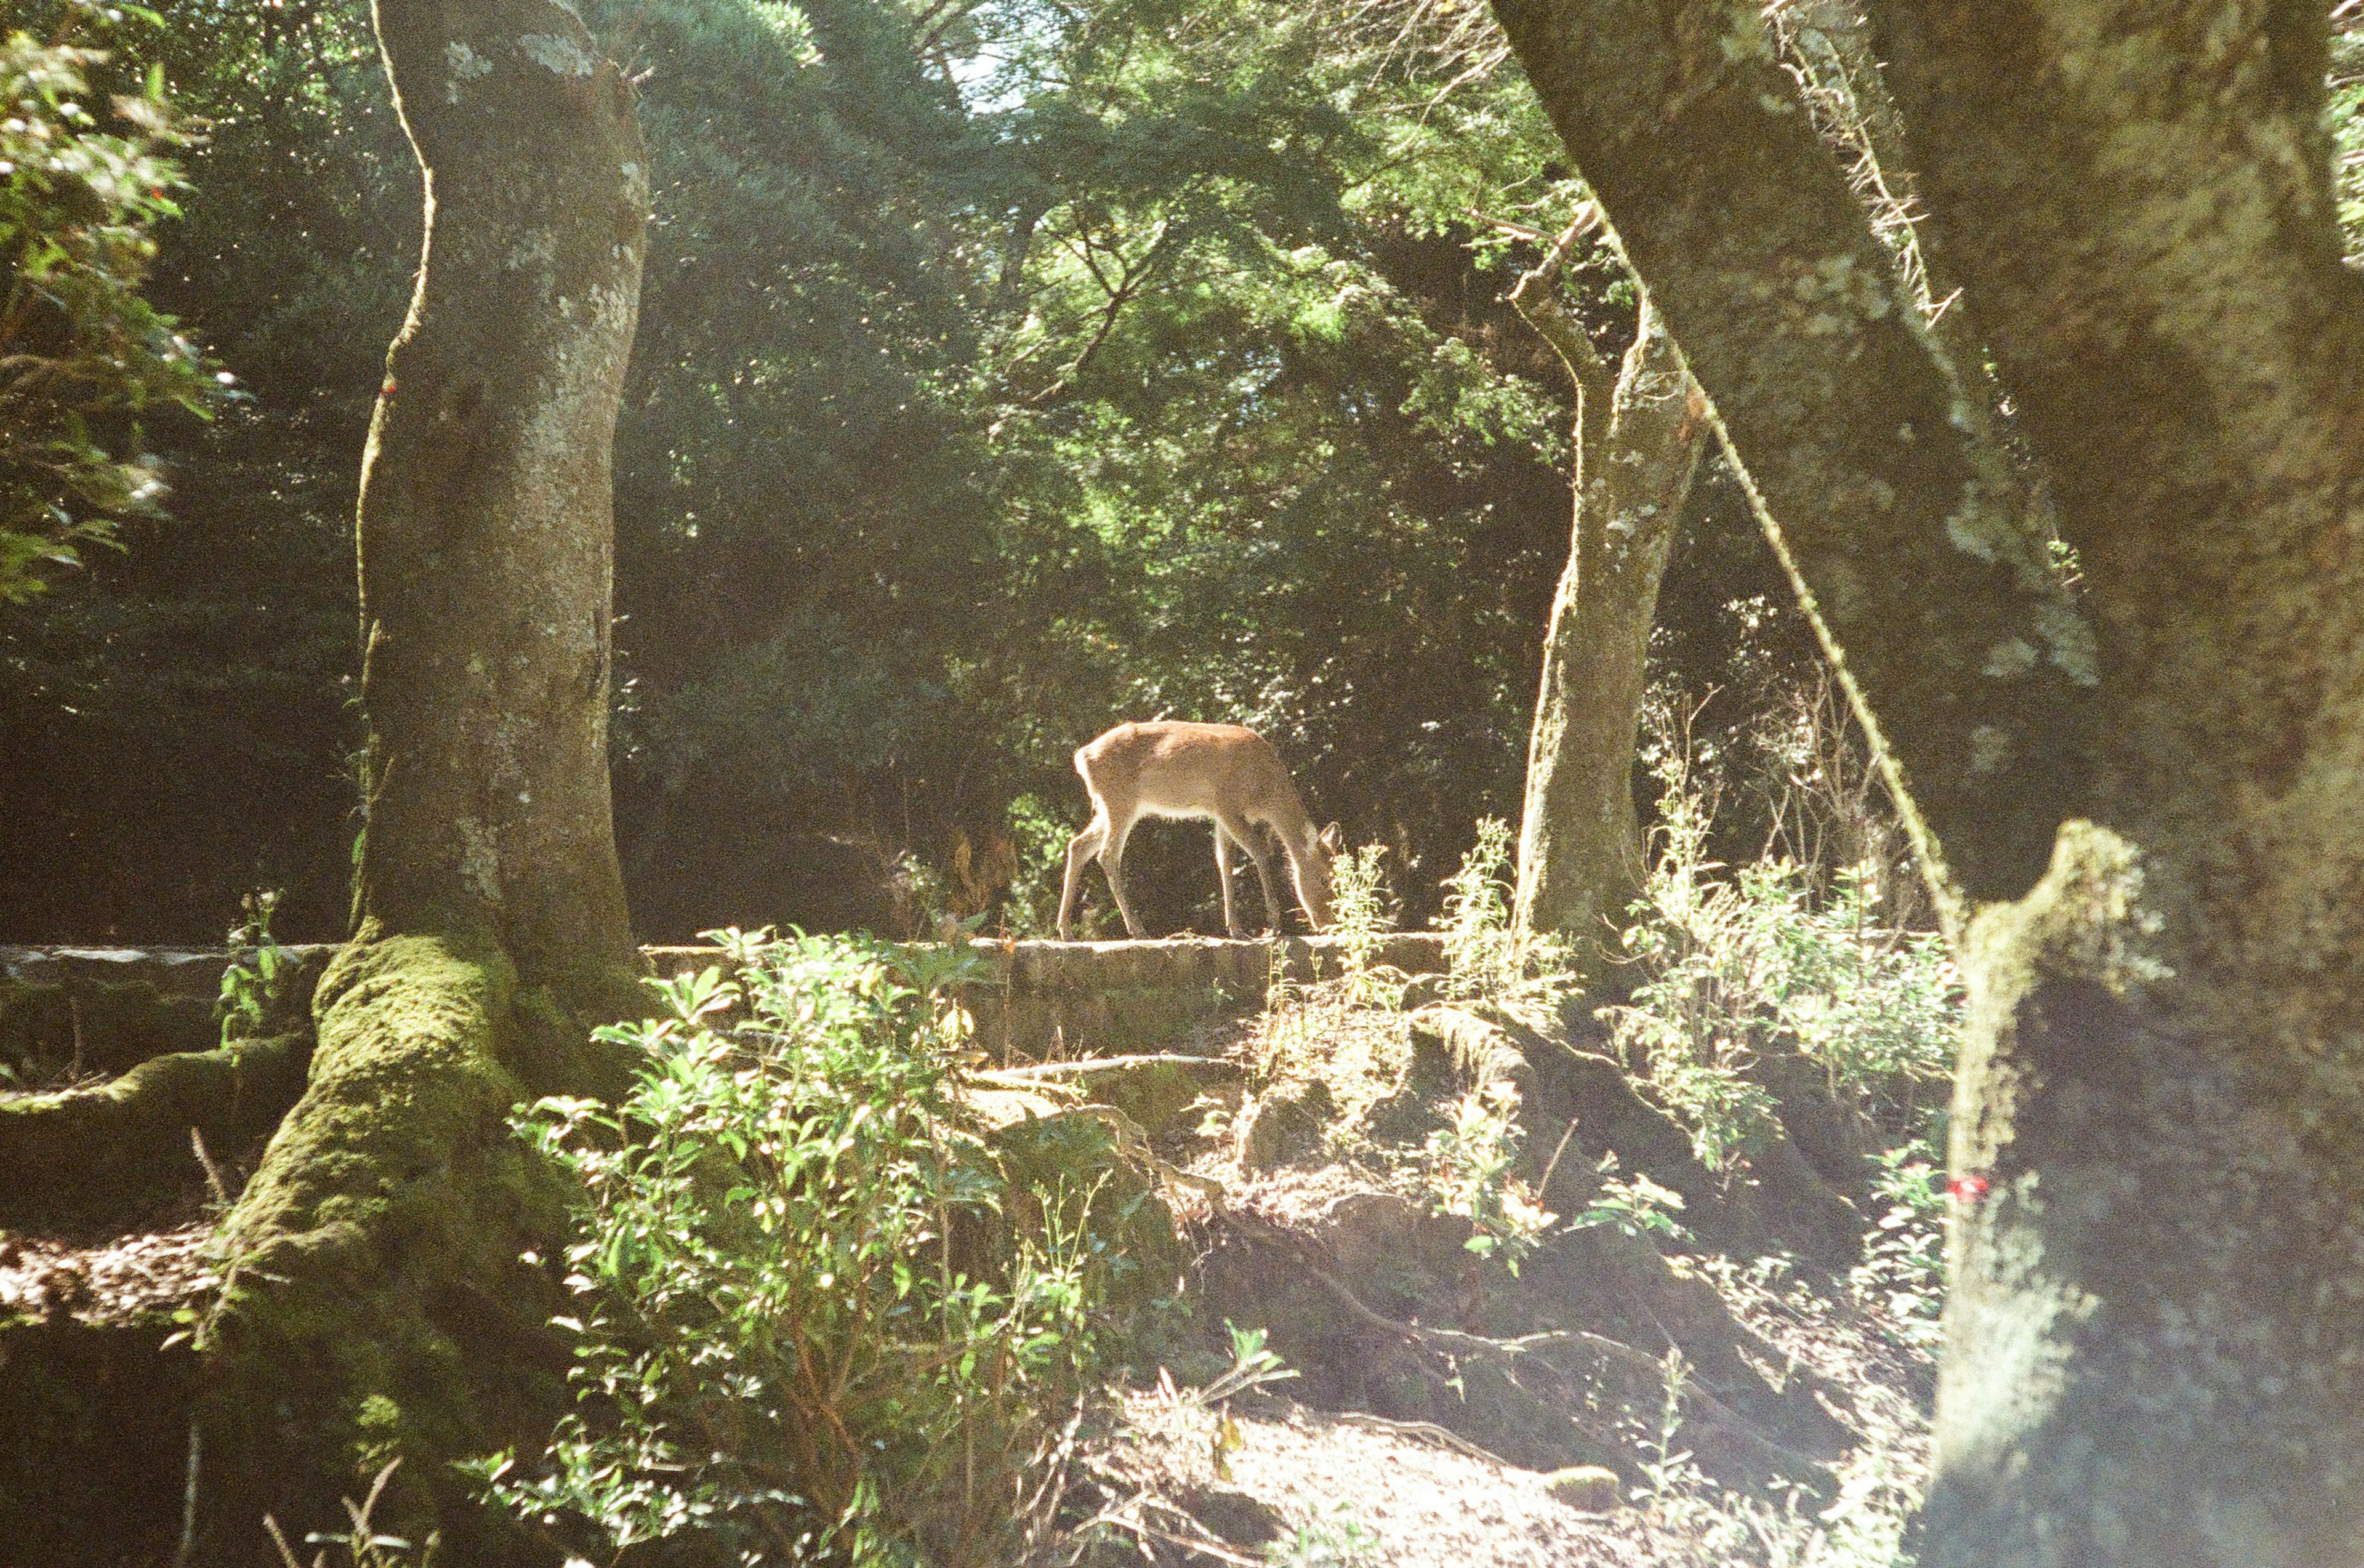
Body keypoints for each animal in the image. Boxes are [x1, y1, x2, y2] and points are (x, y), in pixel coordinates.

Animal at [1059, 723, 1343, 946]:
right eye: (1323, 880)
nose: (1328, 924)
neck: (1266, 792)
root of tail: (1082, 757)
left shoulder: (1221, 816)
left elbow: (1225, 862)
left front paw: (1237, 929)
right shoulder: (1227, 805)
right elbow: (1260, 851)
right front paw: (1273, 926)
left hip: (1115, 806)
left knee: (1079, 845)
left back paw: (1067, 931)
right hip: (1120, 801)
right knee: (1107, 855)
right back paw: (1138, 930)